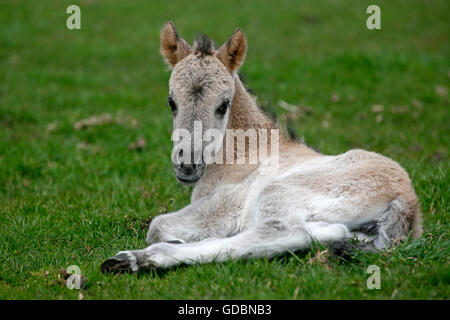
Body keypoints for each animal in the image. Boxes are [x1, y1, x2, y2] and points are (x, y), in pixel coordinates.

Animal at [101, 21, 422, 272]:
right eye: (171, 102)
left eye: (223, 105)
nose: (187, 166)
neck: (244, 153)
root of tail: (407, 201)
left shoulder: (228, 203)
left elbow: (158, 226)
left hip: (278, 192)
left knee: (286, 232)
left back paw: (133, 260)